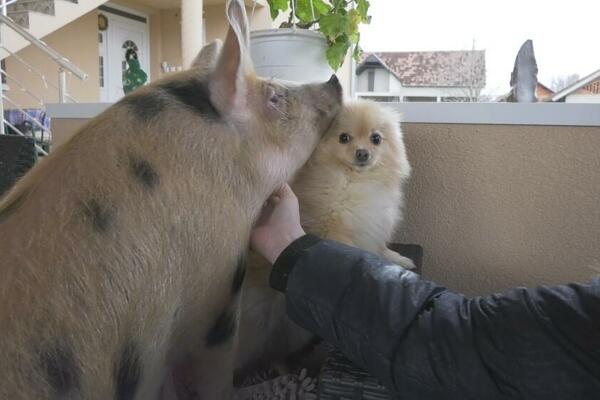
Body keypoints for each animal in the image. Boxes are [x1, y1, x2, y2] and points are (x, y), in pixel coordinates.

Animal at [237, 100, 414, 378]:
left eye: (376, 139)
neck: (353, 181)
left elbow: (379, 248)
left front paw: (397, 260)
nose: (362, 153)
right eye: (344, 138)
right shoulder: (332, 228)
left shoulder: (372, 225)